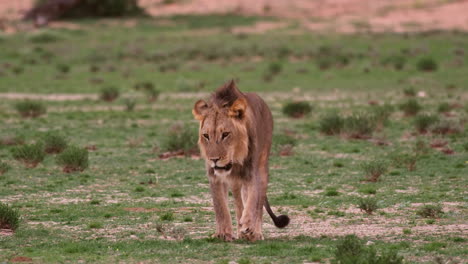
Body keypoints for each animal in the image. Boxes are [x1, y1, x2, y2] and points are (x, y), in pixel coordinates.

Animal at [193, 79, 288, 241]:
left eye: (225, 134)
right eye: (206, 135)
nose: (214, 159)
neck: (235, 160)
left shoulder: (251, 172)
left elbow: (253, 199)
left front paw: (248, 225)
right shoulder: (214, 176)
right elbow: (220, 206)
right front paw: (223, 234)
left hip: (263, 165)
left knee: (258, 201)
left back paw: (255, 232)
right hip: (235, 181)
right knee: (238, 200)